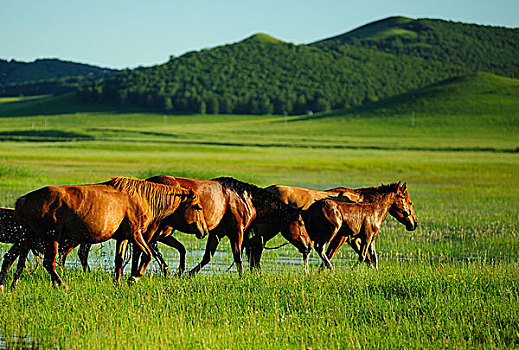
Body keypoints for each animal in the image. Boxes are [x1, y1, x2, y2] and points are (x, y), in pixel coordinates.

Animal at [7, 176, 207, 288]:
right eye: (197, 207)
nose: (204, 231)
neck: (141, 198)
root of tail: (23, 200)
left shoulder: (123, 237)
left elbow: (119, 260)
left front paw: (118, 283)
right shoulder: (135, 234)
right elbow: (148, 255)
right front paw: (134, 278)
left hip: (27, 239)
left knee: (15, 260)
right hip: (51, 239)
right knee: (49, 263)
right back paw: (62, 285)